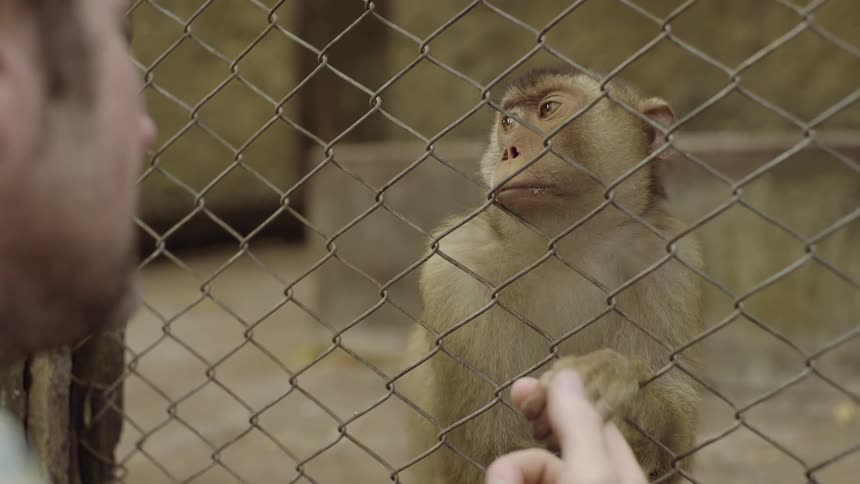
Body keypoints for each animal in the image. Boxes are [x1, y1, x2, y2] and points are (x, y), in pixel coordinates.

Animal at [399, 66, 704, 484]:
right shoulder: (452, 274)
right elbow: (485, 455)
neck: (566, 243)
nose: (510, 151)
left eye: (547, 109)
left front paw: (618, 384)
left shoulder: (668, 261)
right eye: (508, 122)